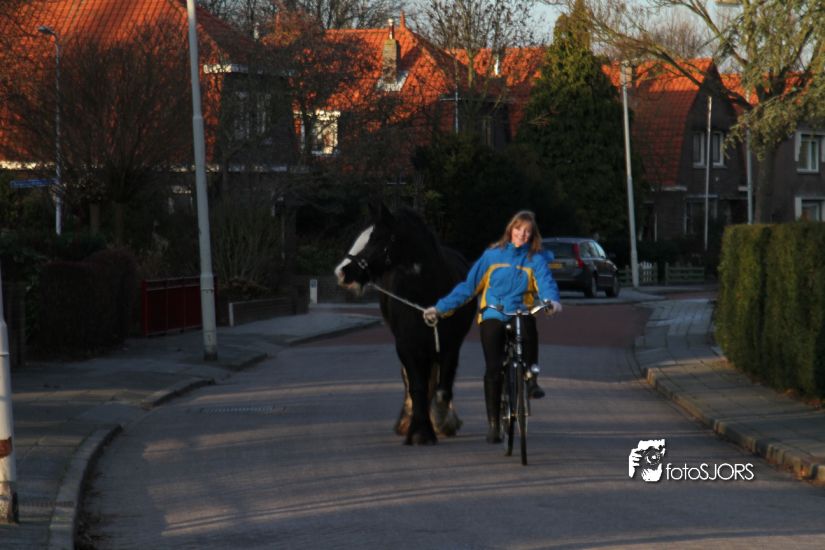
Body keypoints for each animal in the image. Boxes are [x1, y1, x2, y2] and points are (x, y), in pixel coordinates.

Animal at [334, 203, 476, 445]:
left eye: (376, 238)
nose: (342, 272)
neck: (427, 293)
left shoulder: (450, 345)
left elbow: (443, 389)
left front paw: (442, 421)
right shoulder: (407, 346)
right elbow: (416, 386)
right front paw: (419, 431)